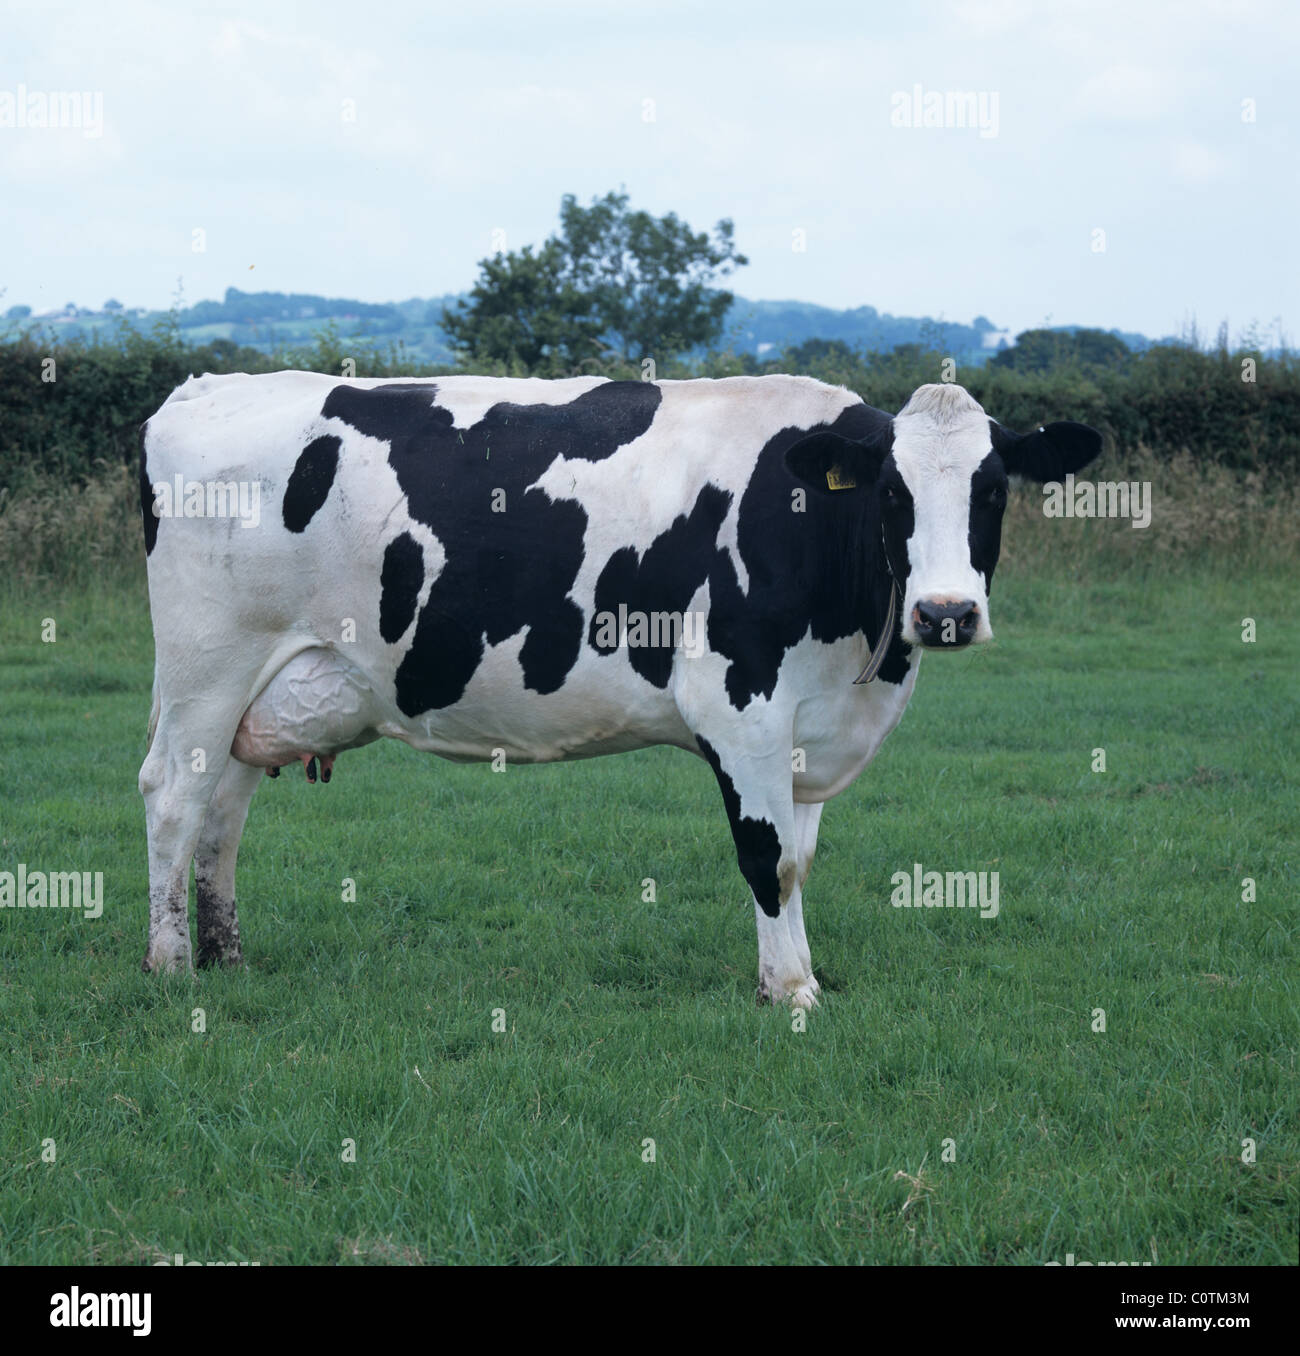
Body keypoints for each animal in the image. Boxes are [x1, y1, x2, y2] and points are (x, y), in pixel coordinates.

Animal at [139, 374, 1095, 1008]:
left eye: (994, 489)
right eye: (893, 493)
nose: (945, 613)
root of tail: (201, 388)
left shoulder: (805, 731)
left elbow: (798, 859)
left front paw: (785, 975)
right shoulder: (740, 707)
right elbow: (767, 857)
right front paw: (792, 991)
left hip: (264, 689)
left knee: (223, 815)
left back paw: (226, 955)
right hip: (206, 668)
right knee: (173, 798)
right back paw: (169, 964)